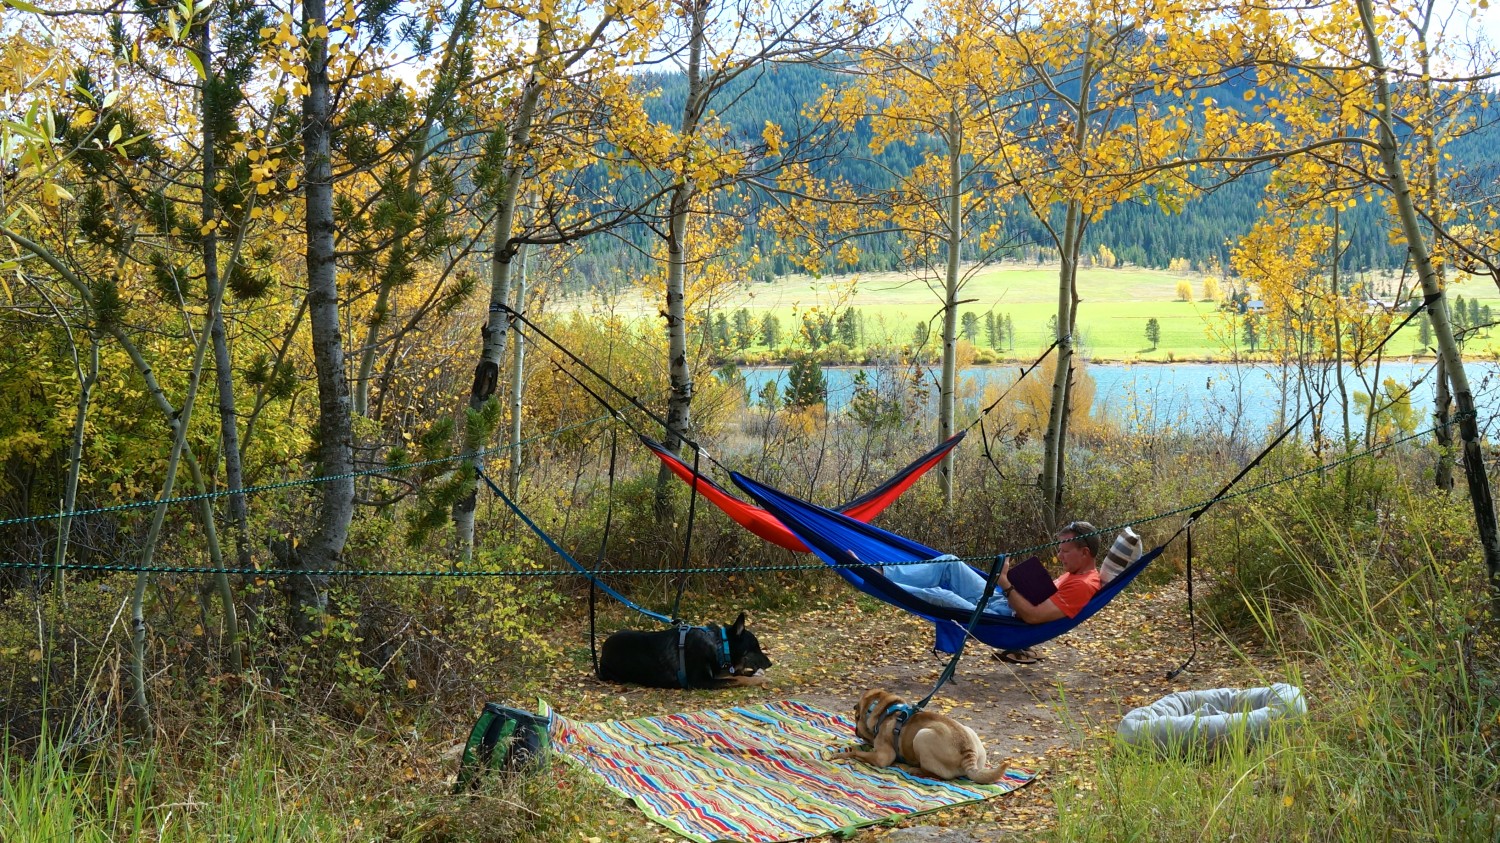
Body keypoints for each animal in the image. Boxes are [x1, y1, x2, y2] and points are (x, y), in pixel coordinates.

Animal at [594, 609, 774, 690]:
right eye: (756, 647)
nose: (771, 664)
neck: (719, 644)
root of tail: (602, 653)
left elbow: (738, 674)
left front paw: (757, 675)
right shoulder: (701, 681)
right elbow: (738, 678)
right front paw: (759, 679)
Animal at [834, 690, 1008, 780]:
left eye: (856, 716)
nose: (855, 731)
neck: (884, 710)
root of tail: (968, 753)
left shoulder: (882, 757)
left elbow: (858, 753)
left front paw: (844, 753)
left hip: (921, 736)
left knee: (939, 775)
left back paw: (914, 769)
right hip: (970, 732)